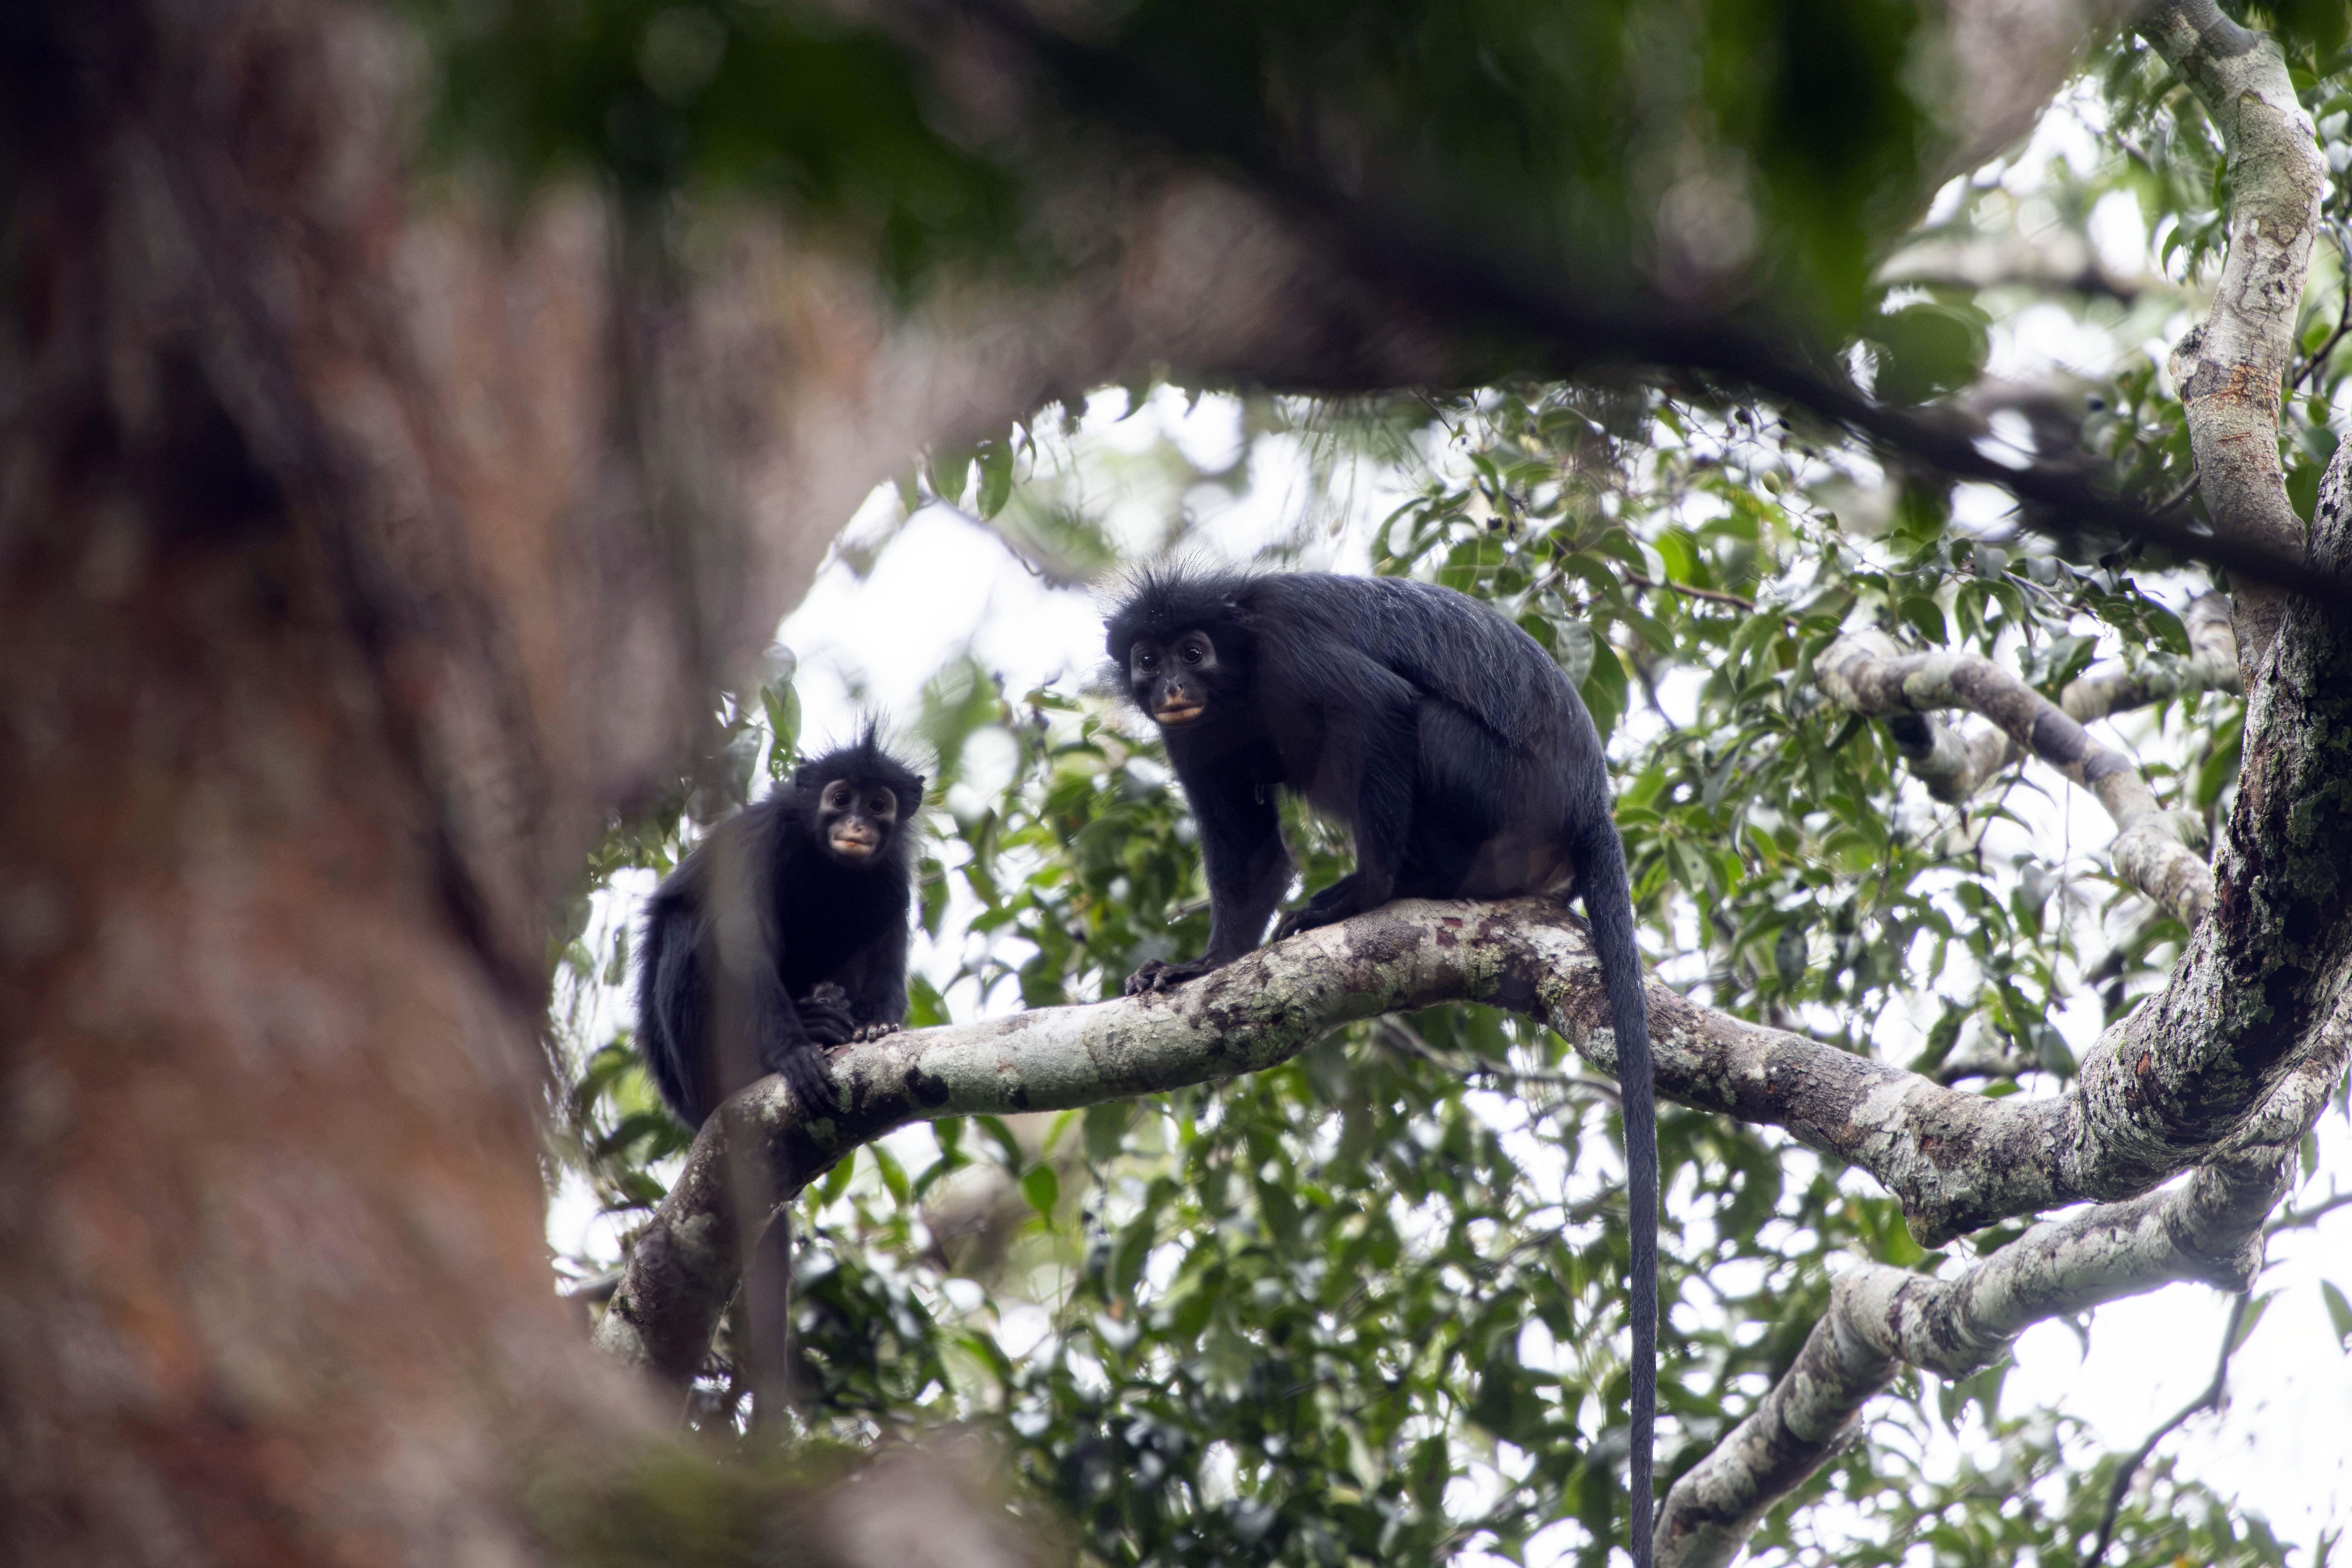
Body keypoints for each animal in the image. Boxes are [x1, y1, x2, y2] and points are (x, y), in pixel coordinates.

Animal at [635, 729, 925, 1126]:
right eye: (840, 799)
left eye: (877, 806)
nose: (856, 824)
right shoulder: (760, 837)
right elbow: (740, 937)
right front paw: (793, 1051)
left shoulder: (893, 873)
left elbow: (887, 945)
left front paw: (877, 1023)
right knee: (684, 925)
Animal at [1106, 567, 1658, 1564]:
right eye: (1146, 657)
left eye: (1193, 650)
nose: (1169, 682)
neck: (1237, 677)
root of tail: (1586, 799)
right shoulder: (1194, 735)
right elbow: (1249, 853)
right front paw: (1201, 967)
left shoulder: (1288, 650)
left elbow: (1380, 710)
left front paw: (1359, 893)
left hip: (1496, 789)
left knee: (1416, 722)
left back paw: (1395, 887)